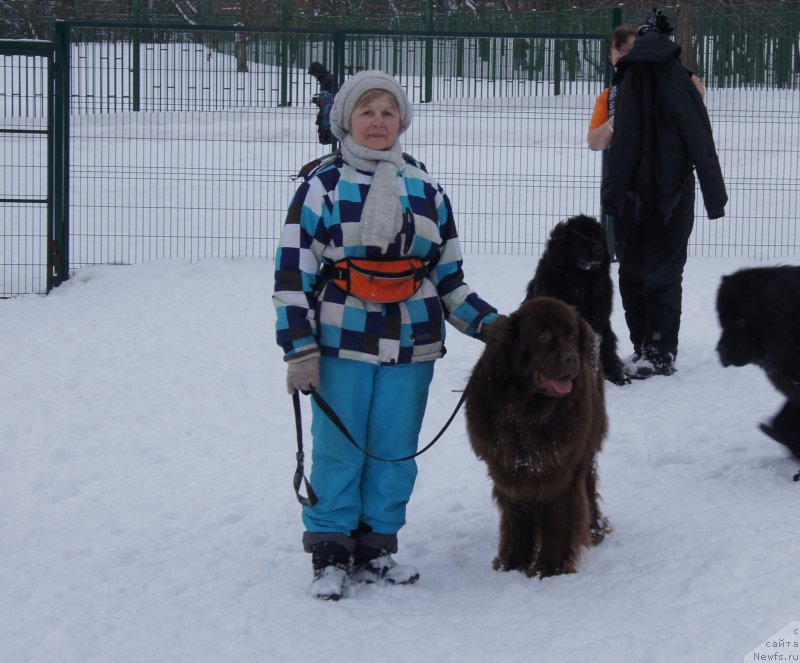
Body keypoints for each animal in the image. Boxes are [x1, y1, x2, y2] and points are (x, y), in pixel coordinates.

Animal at [462, 298, 612, 580]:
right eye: (543, 337)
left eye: (571, 336)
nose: (572, 359)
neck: (526, 413)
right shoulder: (507, 469)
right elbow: (518, 520)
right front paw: (512, 563)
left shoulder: (561, 468)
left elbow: (558, 519)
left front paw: (549, 567)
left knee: (588, 485)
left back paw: (595, 529)